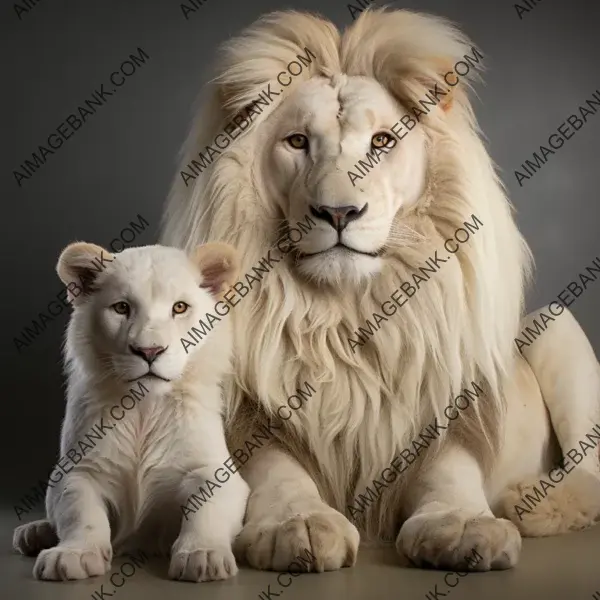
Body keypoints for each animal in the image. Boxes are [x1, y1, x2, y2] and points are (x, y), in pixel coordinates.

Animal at [13, 241, 248, 580]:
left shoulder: (214, 469)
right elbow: (81, 513)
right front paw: (73, 555)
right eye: (122, 308)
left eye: (180, 308)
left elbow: (207, 509)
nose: (149, 351)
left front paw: (202, 555)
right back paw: (32, 533)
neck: (143, 409)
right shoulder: (76, 470)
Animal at [159, 8, 600, 572]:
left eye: (382, 143)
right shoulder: (248, 412)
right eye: (297, 142)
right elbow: (276, 471)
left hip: (556, 325)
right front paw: (297, 524)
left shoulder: (447, 409)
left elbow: (449, 472)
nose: (339, 212)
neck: (346, 314)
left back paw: (533, 504)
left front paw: (463, 526)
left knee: (589, 473)